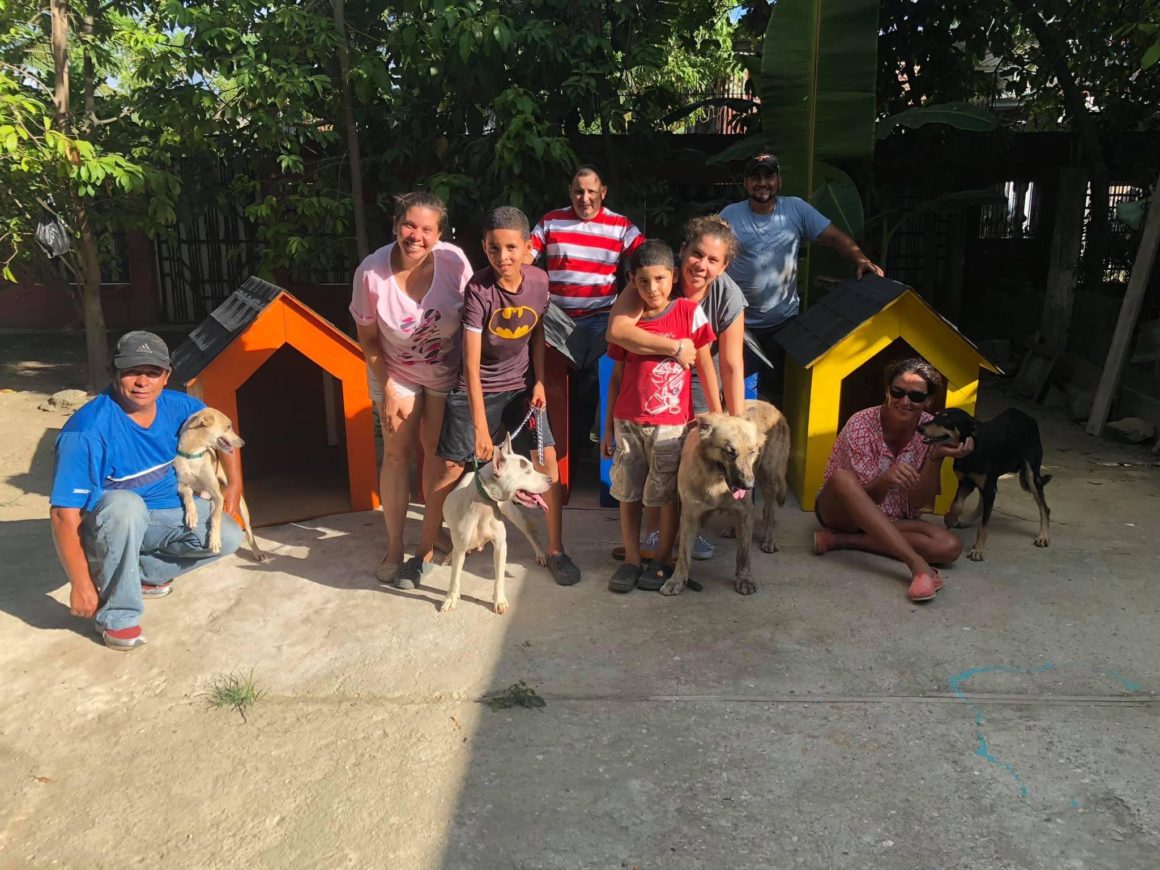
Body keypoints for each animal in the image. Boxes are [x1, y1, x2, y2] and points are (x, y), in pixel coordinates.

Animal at [171, 408, 269, 566]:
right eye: (228, 427)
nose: (243, 442)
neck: (194, 456)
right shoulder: (182, 485)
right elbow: (188, 497)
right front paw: (191, 515)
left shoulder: (218, 495)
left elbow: (216, 519)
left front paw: (215, 539)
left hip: (239, 506)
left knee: (248, 532)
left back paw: (257, 553)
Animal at [440, 433, 554, 612]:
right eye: (526, 471)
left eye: (532, 467)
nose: (551, 479)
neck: (483, 505)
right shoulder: (460, 547)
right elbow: (455, 576)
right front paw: (451, 598)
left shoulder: (500, 545)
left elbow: (499, 577)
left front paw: (499, 600)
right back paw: (449, 556)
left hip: (513, 513)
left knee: (529, 532)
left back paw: (540, 554)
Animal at [663, 401, 788, 598]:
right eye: (730, 452)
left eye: (752, 452)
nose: (749, 485)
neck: (715, 482)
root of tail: (769, 405)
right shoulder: (690, 516)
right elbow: (683, 555)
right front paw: (677, 580)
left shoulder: (745, 512)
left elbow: (744, 553)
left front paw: (744, 579)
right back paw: (732, 528)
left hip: (769, 477)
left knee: (768, 512)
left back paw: (768, 539)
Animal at [914, 410, 1053, 566]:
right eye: (937, 415)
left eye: (947, 419)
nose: (919, 427)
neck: (972, 450)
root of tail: (1027, 417)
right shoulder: (966, 483)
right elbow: (957, 504)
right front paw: (950, 518)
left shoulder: (987, 488)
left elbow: (984, 525)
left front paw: (978, 550)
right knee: (982, 502)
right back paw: (966, 521)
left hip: (1031, 475)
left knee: (1044, 507)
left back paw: (1043, 536)